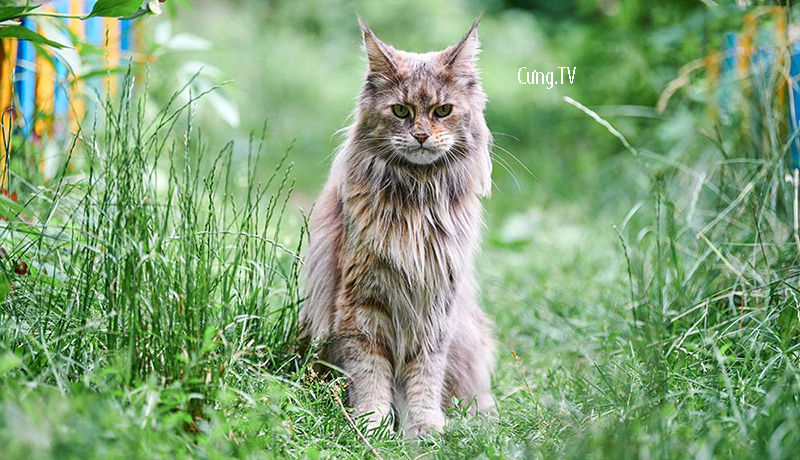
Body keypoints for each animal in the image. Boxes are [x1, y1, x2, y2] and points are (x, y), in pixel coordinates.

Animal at [300, 16, 494, 436]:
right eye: (401, 111)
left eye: (442, 111)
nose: (421, 135)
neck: (417, 203)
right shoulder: (361, 303)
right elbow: (370, 373)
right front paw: (371, 425)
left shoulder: (435, 304)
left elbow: (425, 374)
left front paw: (423, 427)